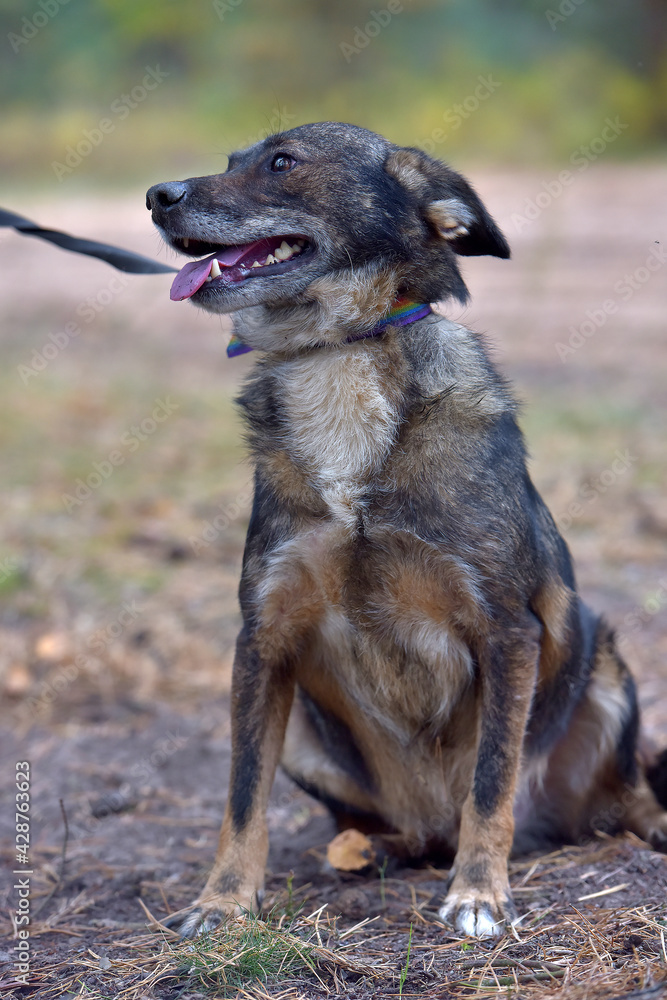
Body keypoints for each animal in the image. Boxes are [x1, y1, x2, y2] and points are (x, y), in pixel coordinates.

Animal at [146, 123, 667, 936]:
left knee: (624, 792)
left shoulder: (506, 632)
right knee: (388, 828)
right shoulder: (263, 638)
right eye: (231, 161)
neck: (339, 358)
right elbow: (241, 795)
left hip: (606, 671)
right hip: (308, 737)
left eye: (283, 162)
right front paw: (222, 901)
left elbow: (490, 781)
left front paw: (478, 893)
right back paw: (366, 851)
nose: (155, 196)